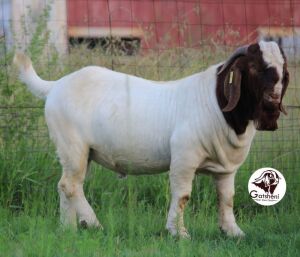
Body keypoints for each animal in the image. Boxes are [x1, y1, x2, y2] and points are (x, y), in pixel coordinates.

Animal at [14, 41, 288, 237]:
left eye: (284, 71)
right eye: (253, 67)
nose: (272, 104)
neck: (216, 105)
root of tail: (55, 85)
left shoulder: (226, 167)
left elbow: (227, 198)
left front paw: (233, 232)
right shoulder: (184, 157)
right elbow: (182, 195)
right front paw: (178, 233)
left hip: (78, 153)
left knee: (66, 186)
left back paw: (67, 228)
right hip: (73, 146)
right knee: (70, 185)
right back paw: (94, 224)